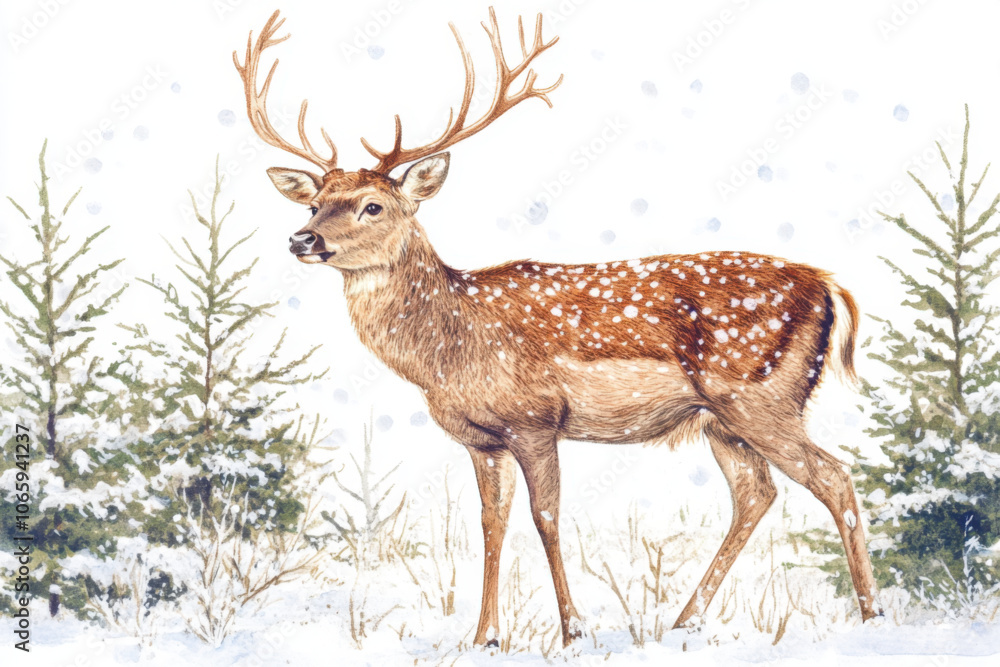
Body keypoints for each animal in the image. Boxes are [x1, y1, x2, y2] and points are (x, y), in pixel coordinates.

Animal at [235, 8, 884, 649]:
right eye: (313, 202)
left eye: (373, 206)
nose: (302, 239)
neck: (448, 350)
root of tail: (829, 286)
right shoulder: (482, 438)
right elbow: (491, 522)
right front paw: (484, 638)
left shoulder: (536, 418)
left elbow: (545, 517)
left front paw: (574, 631)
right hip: (722, 419)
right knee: (756, 491)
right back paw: (684, 622)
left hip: (761, 395)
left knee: (834, 477)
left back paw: (871, 618)